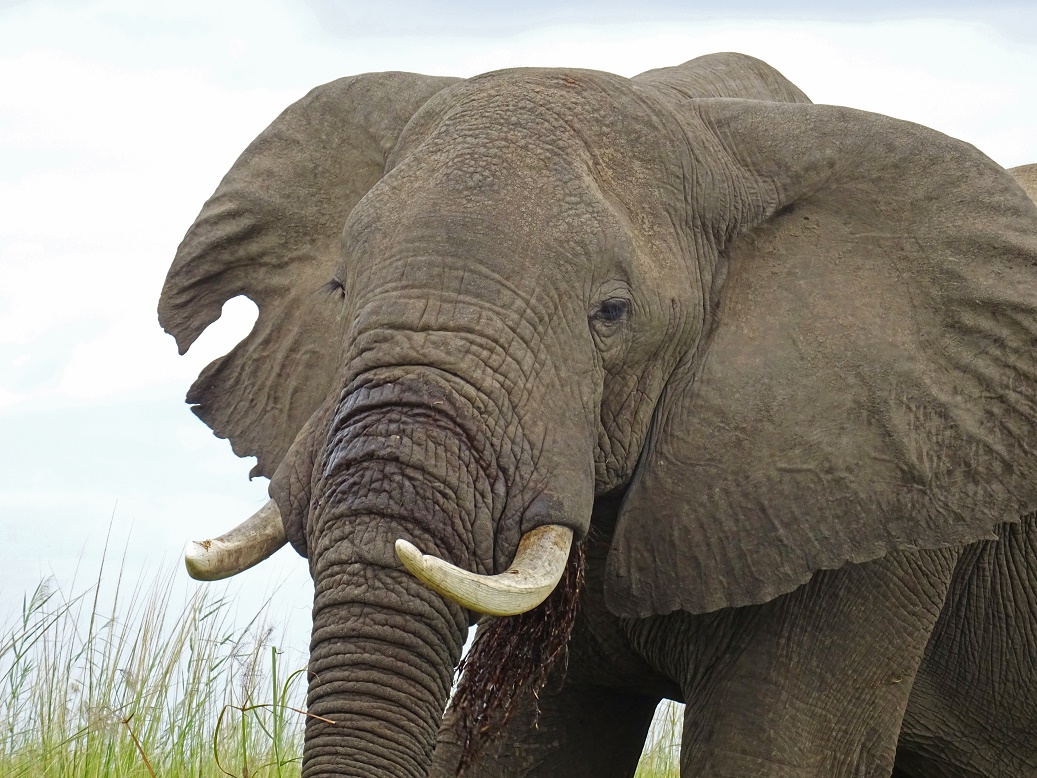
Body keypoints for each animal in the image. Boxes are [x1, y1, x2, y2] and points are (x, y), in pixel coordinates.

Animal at [159, 51, 1037, 775]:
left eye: (611, 313)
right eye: (338, 288)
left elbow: (777, 754)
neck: (714, 131)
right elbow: (533, 752)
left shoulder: (886, 491)